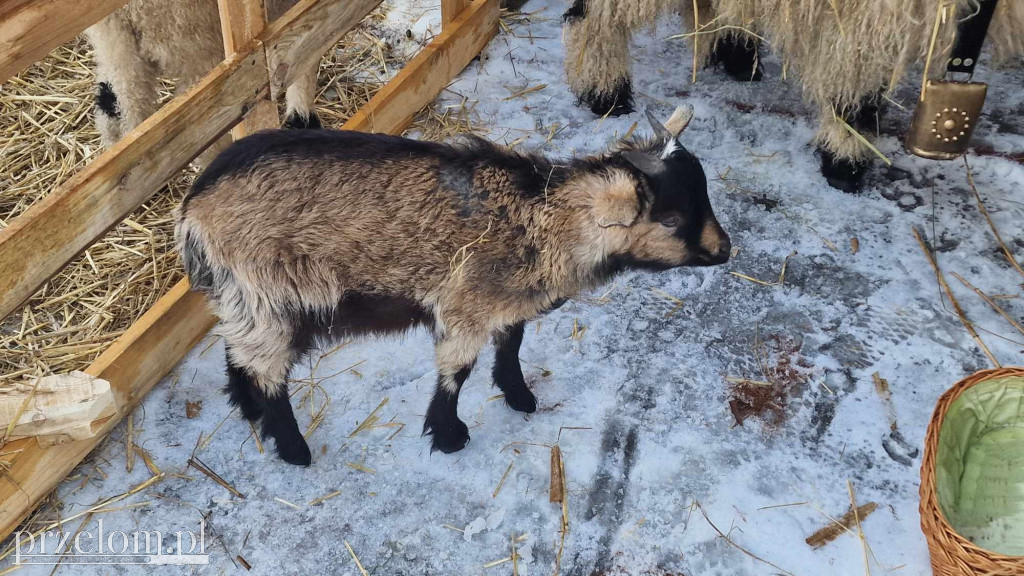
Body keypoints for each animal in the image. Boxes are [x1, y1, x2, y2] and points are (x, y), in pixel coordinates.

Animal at [176, 105, 733, 463]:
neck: (542, 219)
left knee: (237, 344)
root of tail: (193, 205)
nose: (726, 250)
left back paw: (246, 405)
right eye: (670, 217)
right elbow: (457, 372)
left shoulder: (509, 299)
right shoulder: (465, 304)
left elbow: (512, 343)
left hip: (244, 293)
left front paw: (519, 396)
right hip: (265, 288)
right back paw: (292, 447)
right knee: (267, 366)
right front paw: (448, 435)